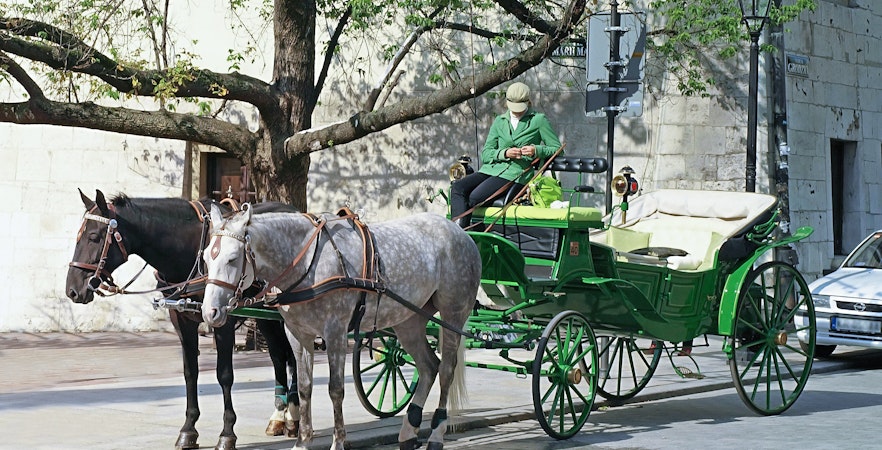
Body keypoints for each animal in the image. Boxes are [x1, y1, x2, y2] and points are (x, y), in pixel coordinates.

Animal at [65, 189, 300, 450]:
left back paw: (293, 415)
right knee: (279, 357)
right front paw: (189, 429)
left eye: (94, 236)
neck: (189, 249)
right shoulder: (181, 318)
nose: (73, 290)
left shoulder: (223, 320)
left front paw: (227, 433)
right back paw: (280, 417)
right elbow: (191, 372)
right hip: (265, 316)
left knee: (294, 356)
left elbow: (224, 375)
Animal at [200, 204, 481, 450]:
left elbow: (335, 390)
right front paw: (302, 441)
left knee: (445, 370)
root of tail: (461, 233)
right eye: (205, 258)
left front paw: (338, 442)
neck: (306, 261)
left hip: (453, 315)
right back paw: (409, 431)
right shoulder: (297, 334)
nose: (210, 312)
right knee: (428, 366)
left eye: (232, 259)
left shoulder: (335, 332)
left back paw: (435, 435)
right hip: (409, 320)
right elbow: (304, 387)